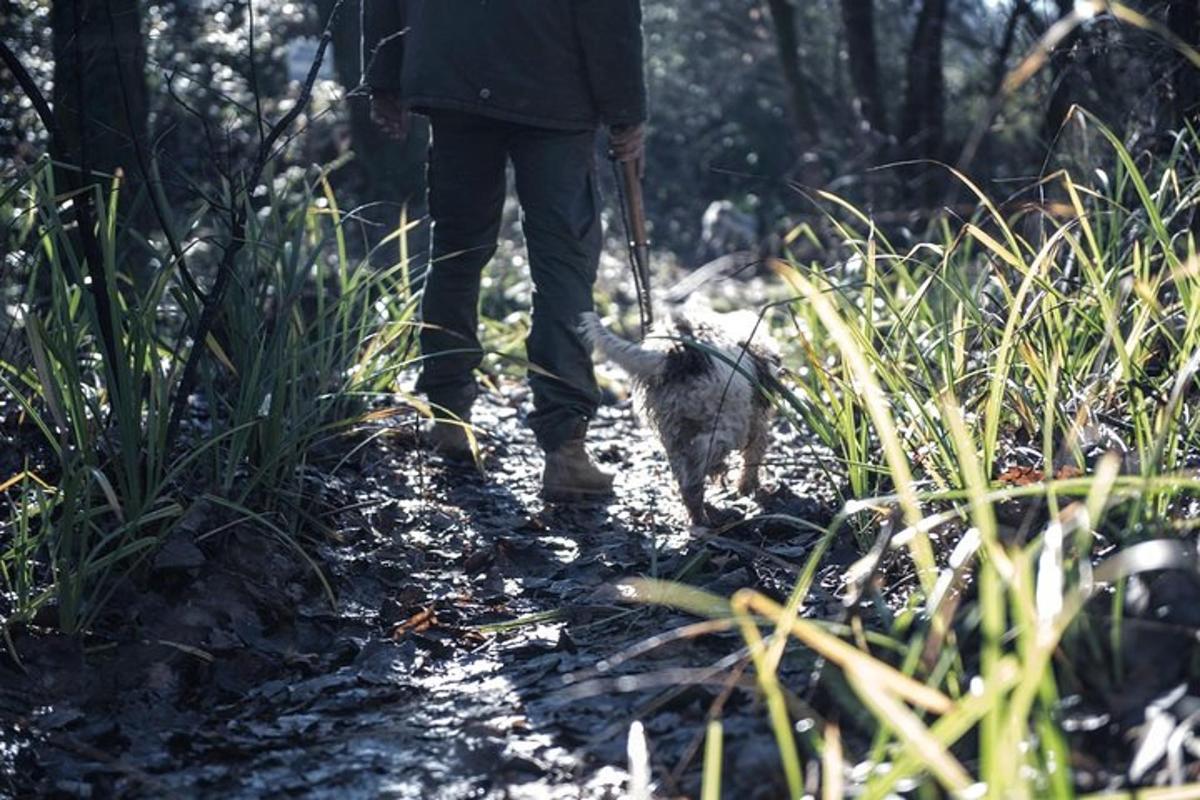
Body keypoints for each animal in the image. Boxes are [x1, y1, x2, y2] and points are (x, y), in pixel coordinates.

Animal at [580, 307, 777, 525]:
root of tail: (677, 353)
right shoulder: (756, 419)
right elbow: (754, 453)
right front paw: (747, 486)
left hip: (671, 428)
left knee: (686, 472)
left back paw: (697, 510)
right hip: (727, 418)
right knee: (702, 454)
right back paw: (711, 481)